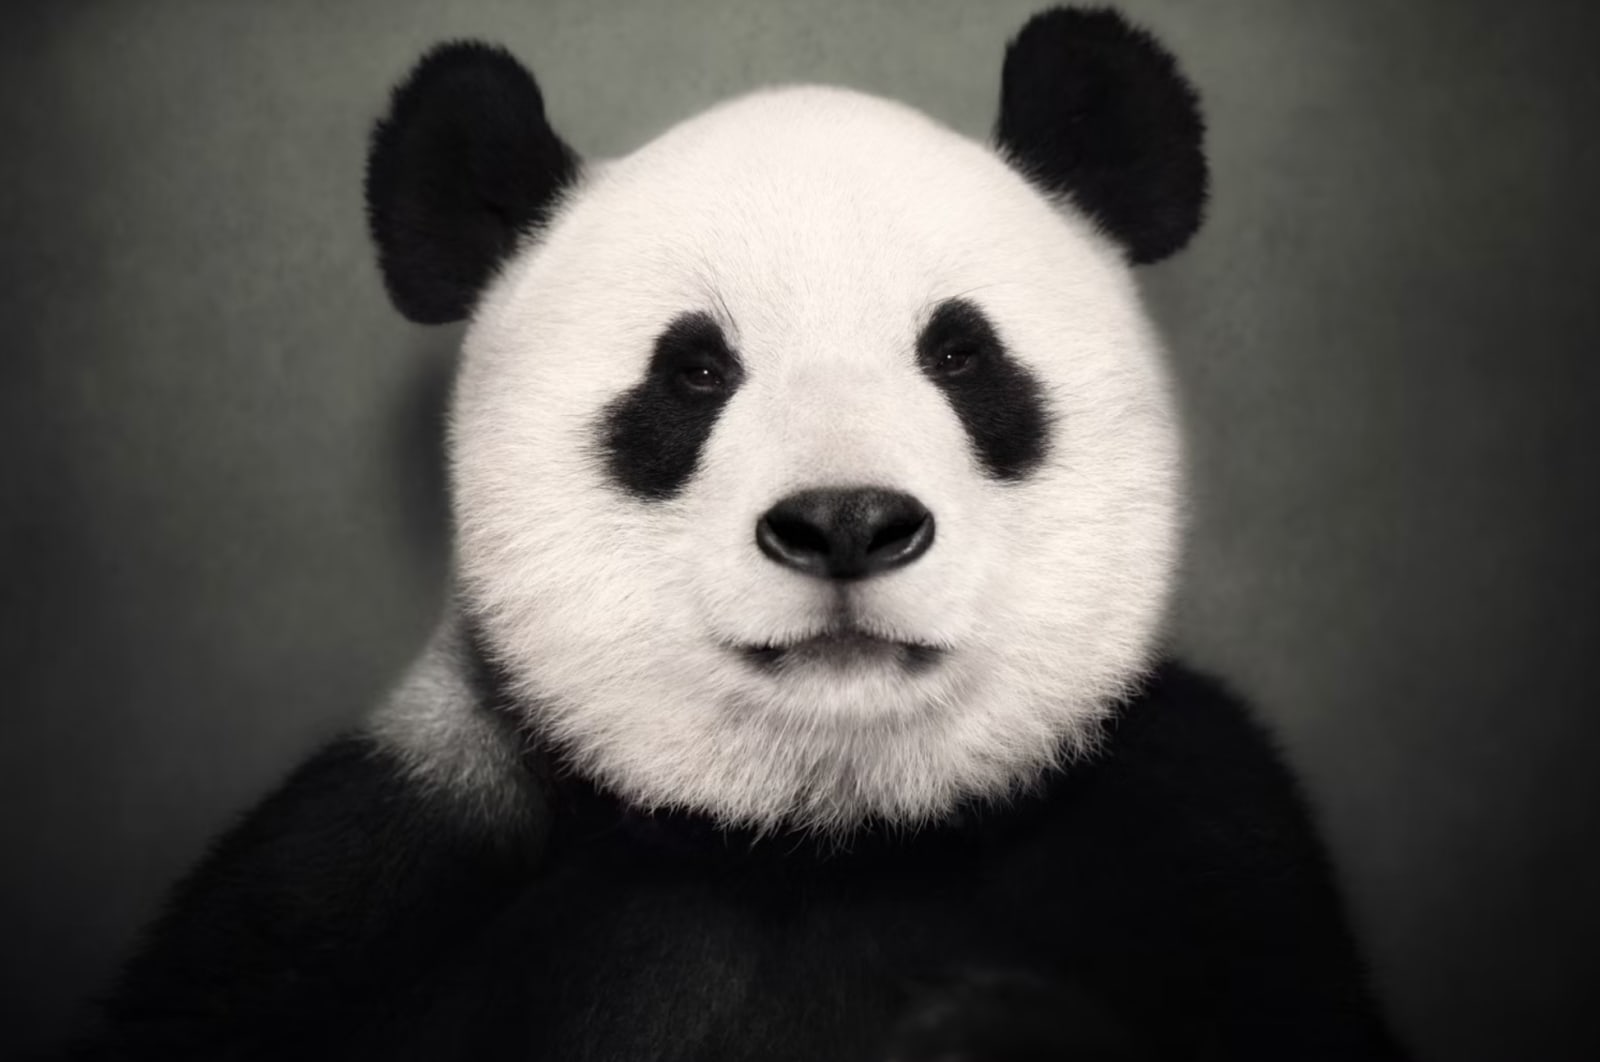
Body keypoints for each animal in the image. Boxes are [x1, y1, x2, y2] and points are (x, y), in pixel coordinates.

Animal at [67, 7, 1406, 1061]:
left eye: (959, 355)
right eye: (695, 371)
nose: (846, 522)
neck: (818, 833)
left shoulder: (1196, 844)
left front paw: (978, 1028)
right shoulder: (369, 871)